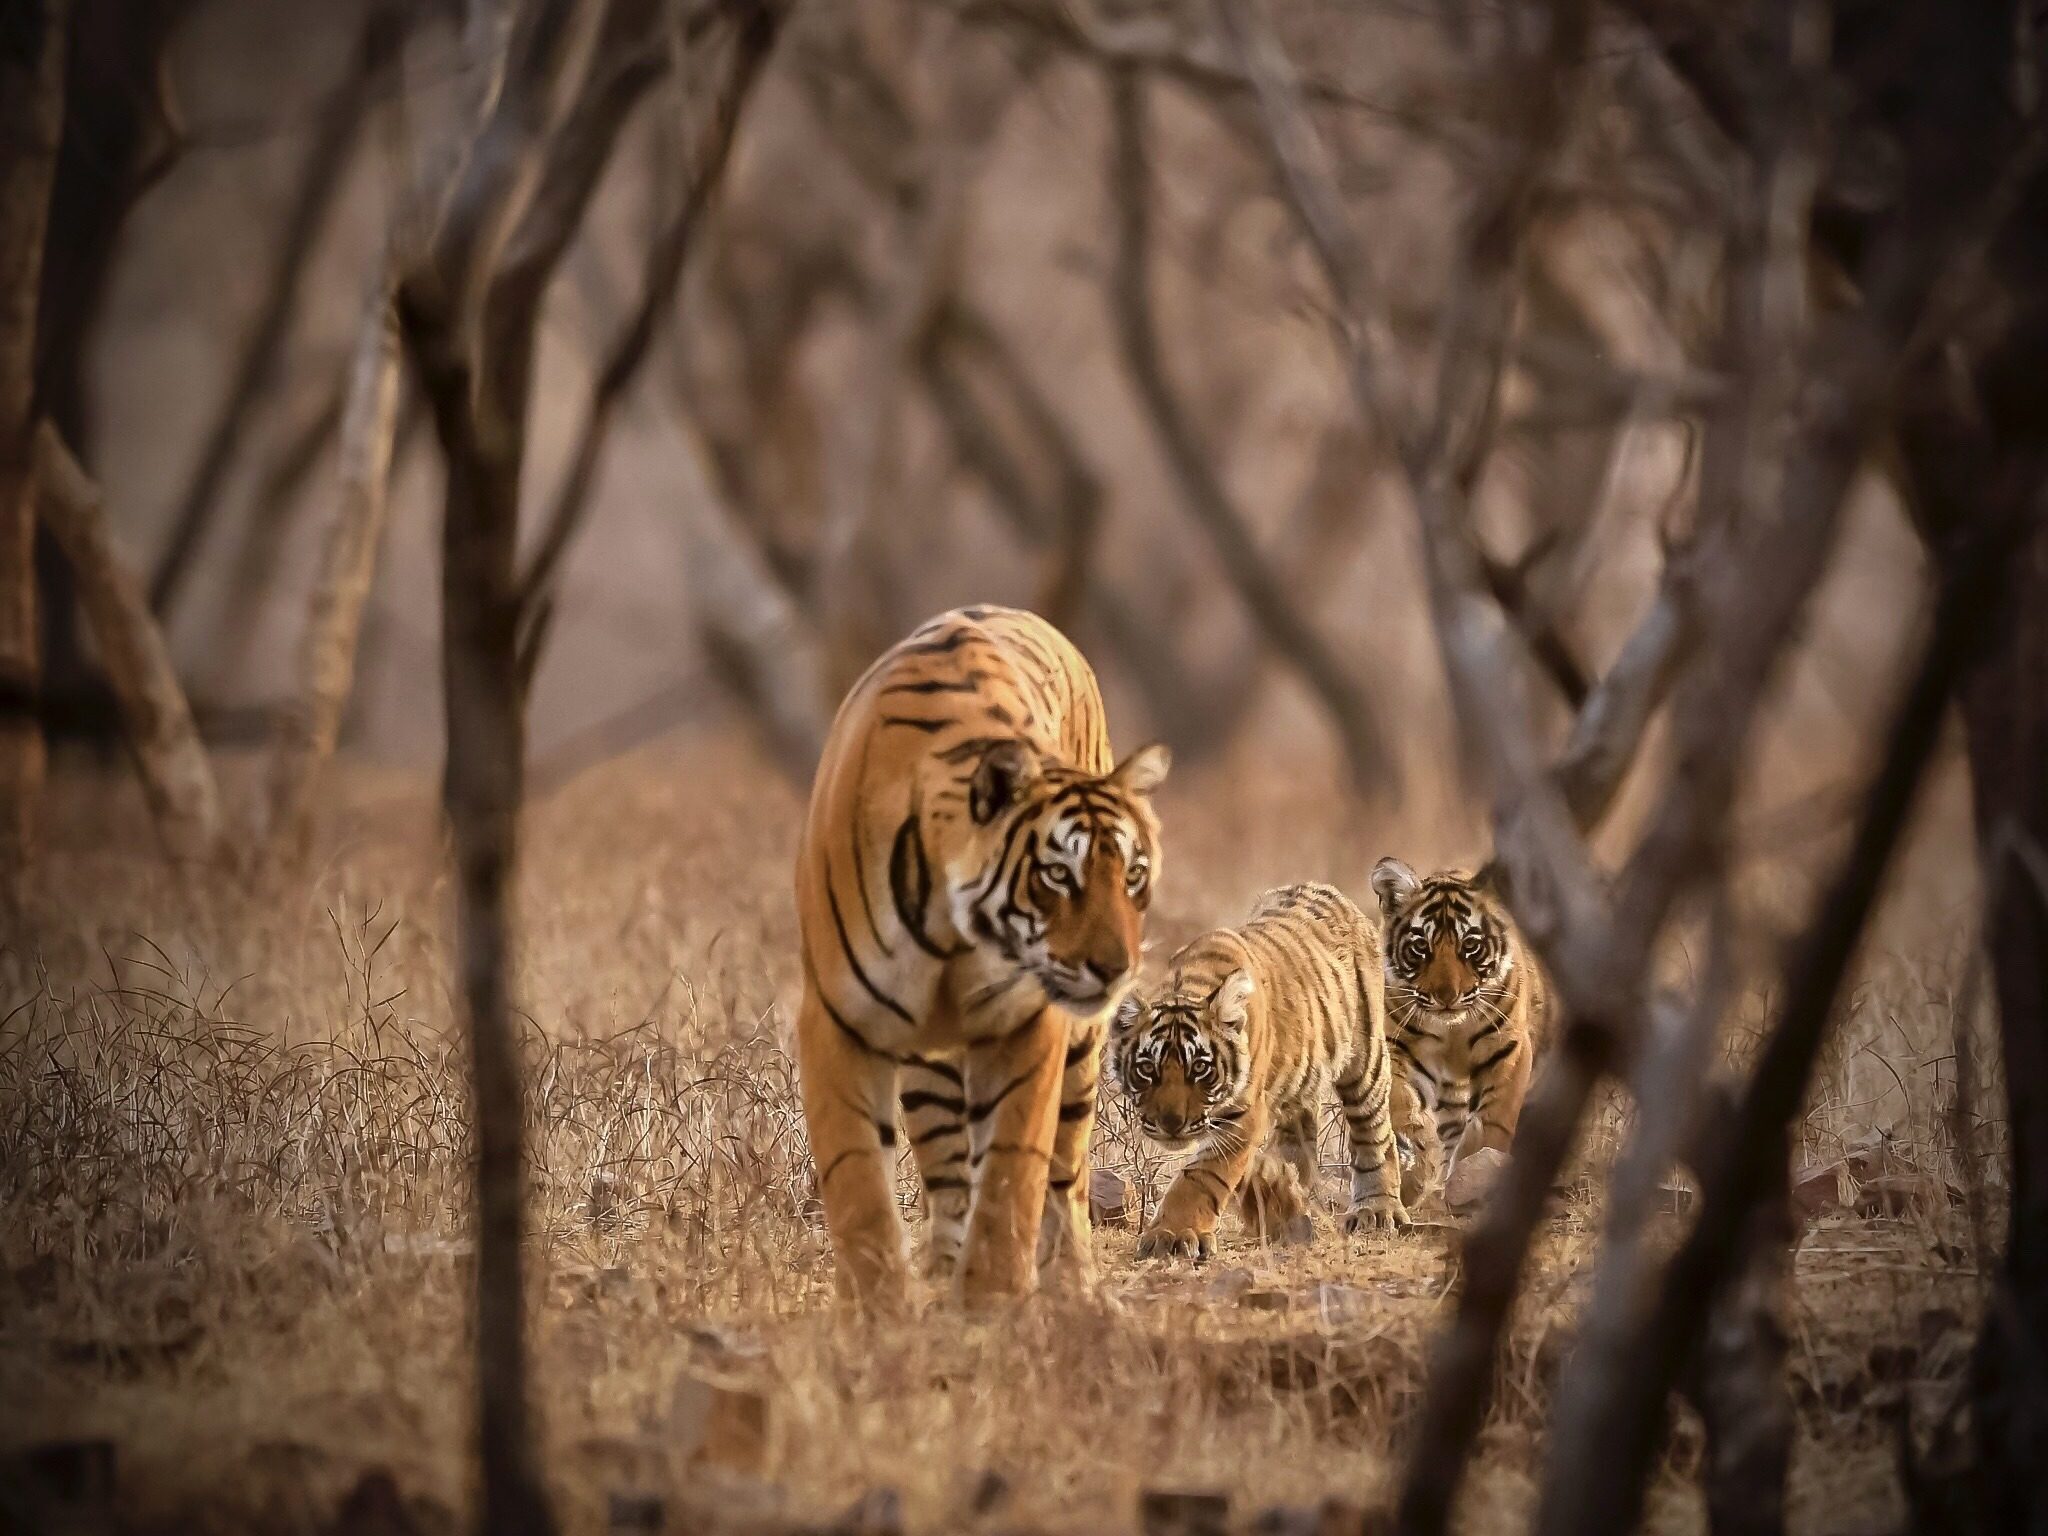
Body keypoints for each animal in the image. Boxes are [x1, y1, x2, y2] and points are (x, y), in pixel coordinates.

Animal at [790, 606, 1171, 1310]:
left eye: (1132, 874)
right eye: (1058, 875)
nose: (1117, 969)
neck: (953, 929)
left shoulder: (1026, 1022)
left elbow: (1013, 1172)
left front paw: (992, 1302)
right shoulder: (836, 1019)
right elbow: (858, 1184)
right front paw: (878, 1314)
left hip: (1078, 1053)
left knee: (1066, 1168)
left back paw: (1072, 1284)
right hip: (926, 1061)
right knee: (947, 1173)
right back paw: (943, 1269)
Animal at [1105, 876, 1409, 1261]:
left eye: (1200, 1068)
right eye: (1147, 1069)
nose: (1172, 1125)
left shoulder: (1243, 1112)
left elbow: (1202, 1175)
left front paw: (1171, 1236)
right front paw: (1278, 1191)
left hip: (1365, 1060)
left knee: (1374, 1132)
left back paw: (1377, 1210)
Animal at [1376, 856, 1548, 1204]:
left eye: (1470, 945)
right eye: (1420, 947)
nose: (1446, 996)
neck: (1452, 1032)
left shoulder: (1509, 1051)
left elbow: (1494, 1123)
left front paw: (1477, 1172)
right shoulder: (1398, 1045)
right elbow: (1401, 1102)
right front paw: (1414, 1169)